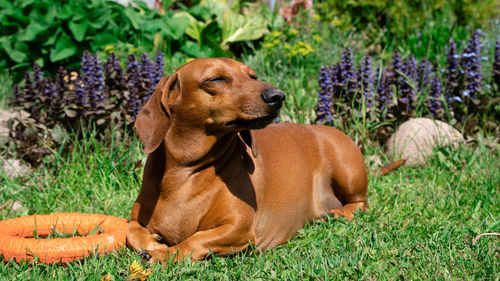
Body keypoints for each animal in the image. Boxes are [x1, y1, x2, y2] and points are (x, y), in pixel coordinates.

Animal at [129, 57, 370, 262]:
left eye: (252, 76)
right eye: (216, 79)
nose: (278, 96)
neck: (184, 172)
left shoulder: (238, 228)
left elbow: (194, 240)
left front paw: (162, 254)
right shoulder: (136, 220)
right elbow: (132, 232)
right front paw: (154, 245)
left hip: (347, 172)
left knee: (361, 204)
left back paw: (342, 212)